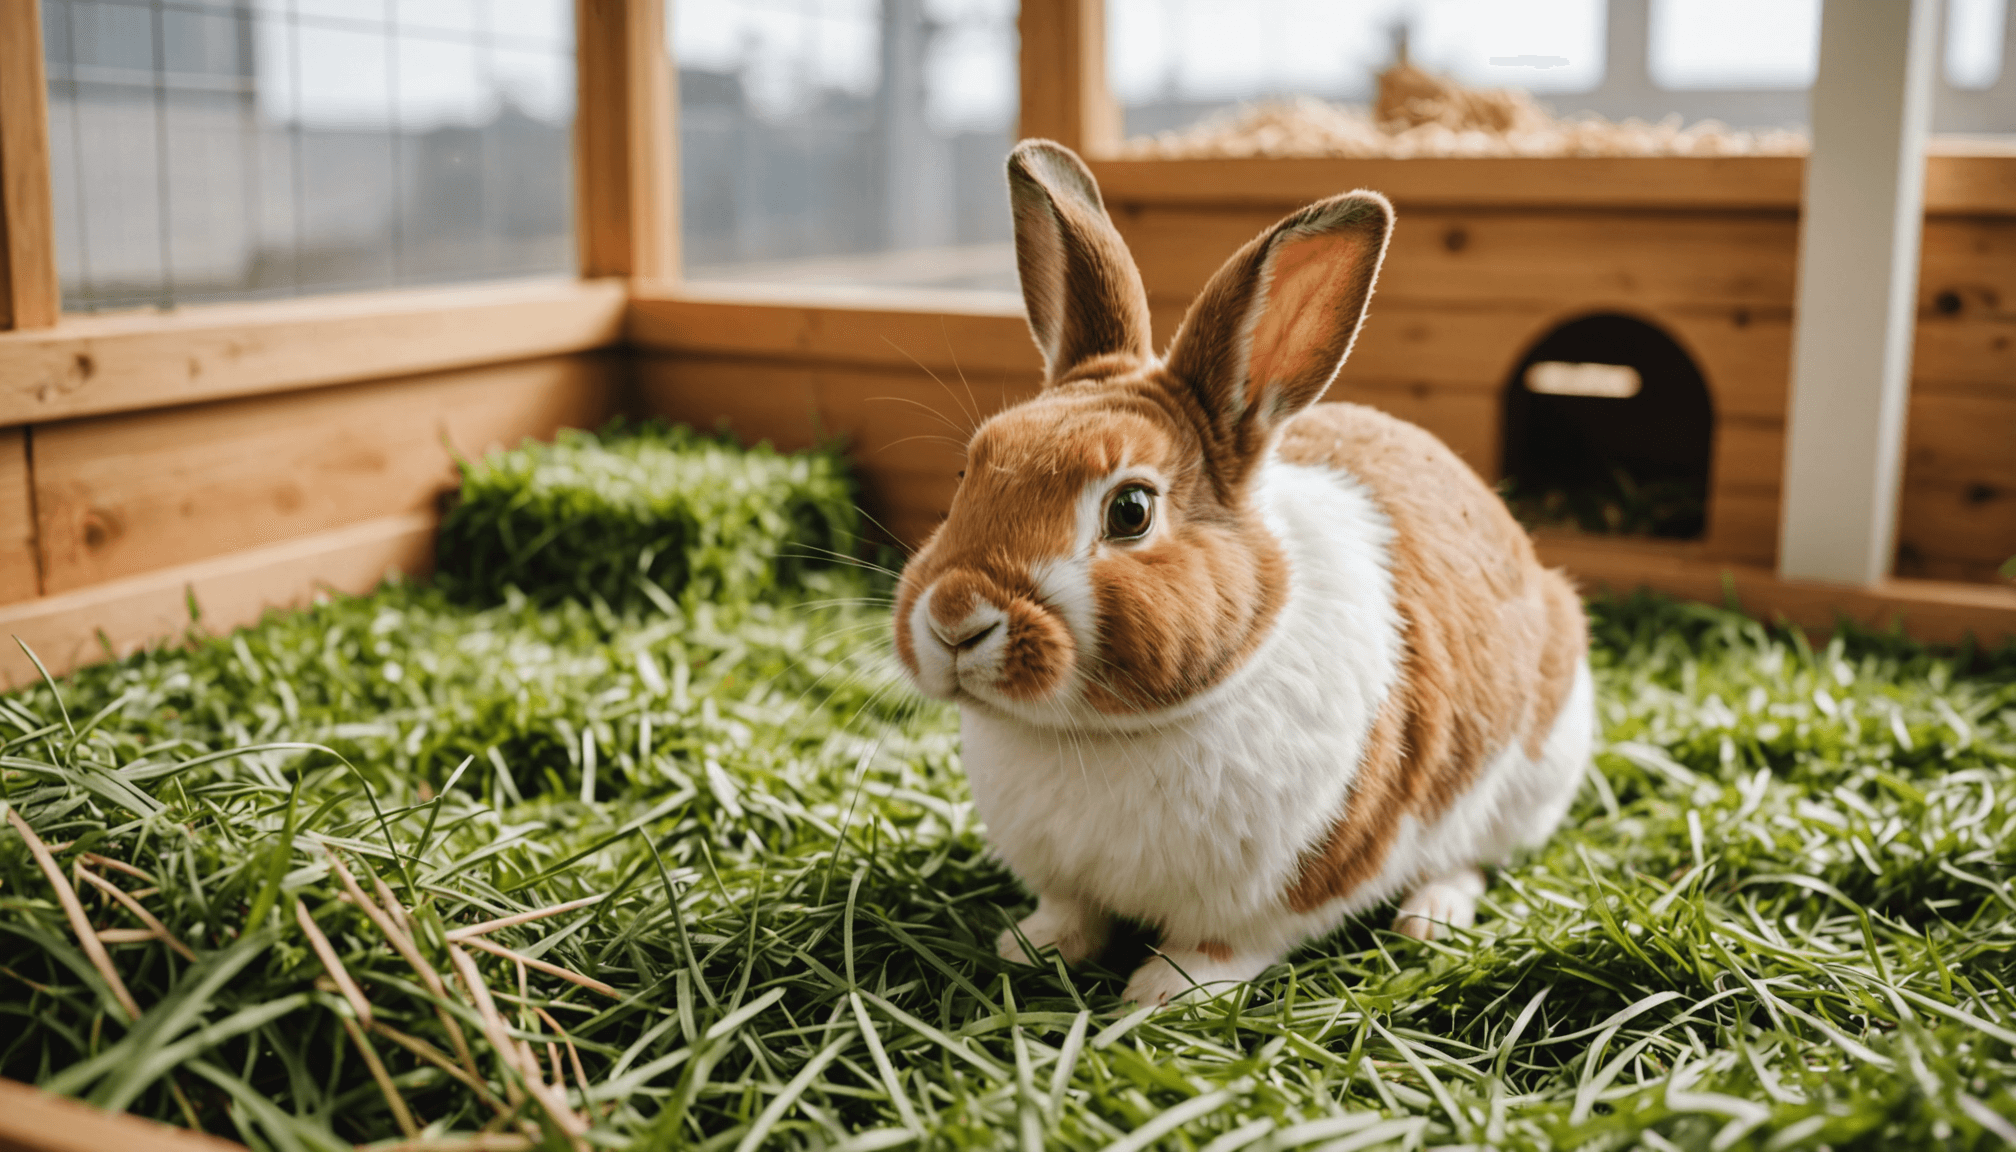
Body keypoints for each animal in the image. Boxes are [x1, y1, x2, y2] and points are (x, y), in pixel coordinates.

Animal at [892, 139, 1594, 1007]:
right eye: (969, 472)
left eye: (1130, 510)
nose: (955, 617)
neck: (1098, 731)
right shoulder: (1067, 877)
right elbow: (1072, 912)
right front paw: (1032, 947)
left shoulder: (1282, 888)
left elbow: (1224, 946)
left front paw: (1161, 992)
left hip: (1525, 782)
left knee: (1471, 858)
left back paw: (1429, 918)